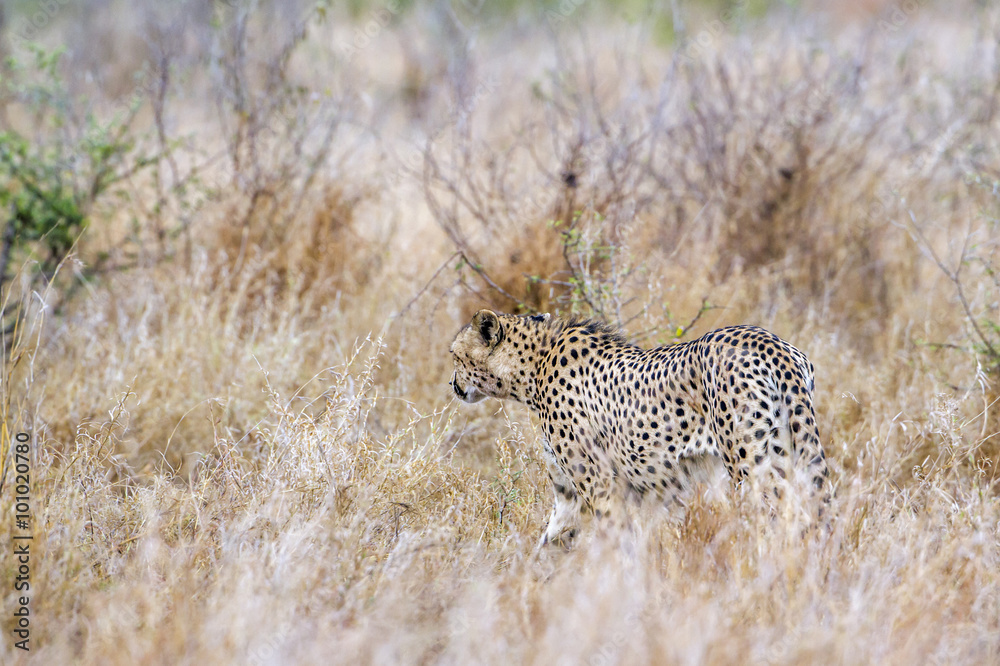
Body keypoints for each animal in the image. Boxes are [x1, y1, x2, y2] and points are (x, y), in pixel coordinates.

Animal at [449, 309, 830, 547]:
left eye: (454, 355)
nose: (453, 385)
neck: (535, 365)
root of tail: (768, 341)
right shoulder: (571, 494)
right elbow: (551, 540)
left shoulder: (601, 486)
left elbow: (614, 540)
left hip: (751, 466)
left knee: (779, 517)